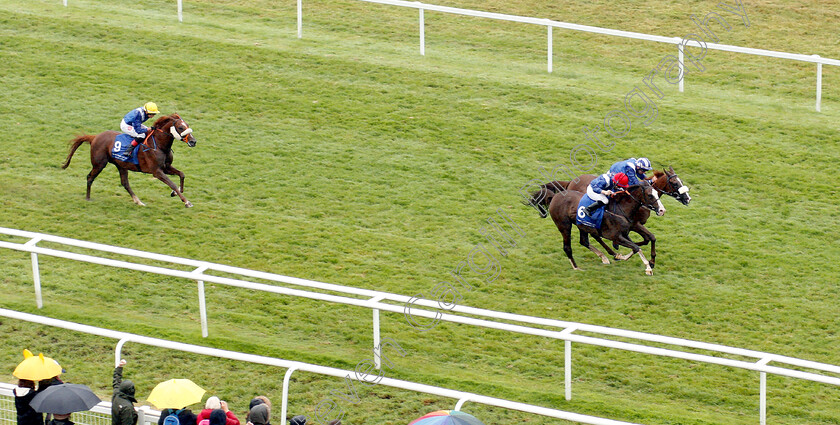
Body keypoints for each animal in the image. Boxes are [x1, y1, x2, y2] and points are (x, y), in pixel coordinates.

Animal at [61, 113, 196, 208]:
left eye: (188, 125)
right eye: (180, 127)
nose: (193, 141)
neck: (159, 145)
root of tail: (94, 137)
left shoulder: (166, 167)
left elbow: (182, 174)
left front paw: (175, 192)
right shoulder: (156, 171)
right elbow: (172, 183)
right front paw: (186, 202)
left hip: (121, 165)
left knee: (125, 183)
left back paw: (138, 201)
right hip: (99, 164)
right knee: (90, 177)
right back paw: (88, 198)